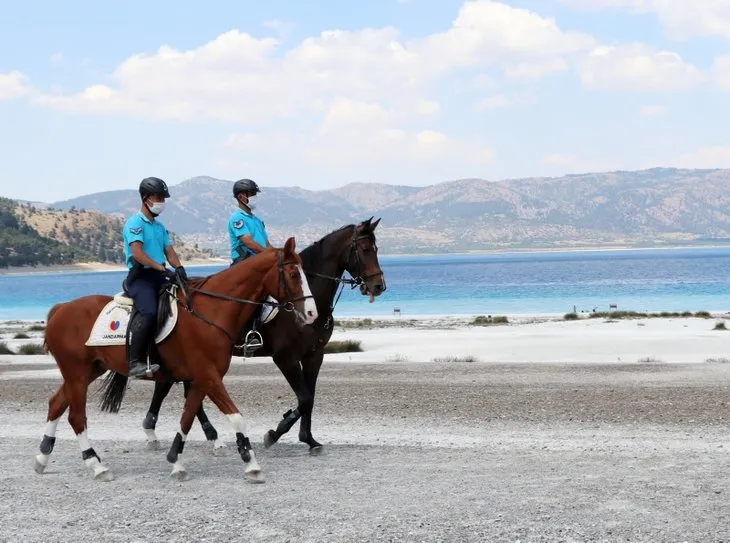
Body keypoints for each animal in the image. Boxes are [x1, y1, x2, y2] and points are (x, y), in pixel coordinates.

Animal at [34, 238, 316, 484]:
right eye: (293, 274)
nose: (312, 313)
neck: (211, 312)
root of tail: (61, 309)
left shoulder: (202, 379)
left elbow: (187, 418)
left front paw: (176, 462)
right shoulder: (209, 376)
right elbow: (236, 417)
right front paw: (252, 464)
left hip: (88, 371)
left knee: (56, 403)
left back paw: (42, 457)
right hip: (77, 373)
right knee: (76, 417)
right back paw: (96, 465)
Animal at [139, 218, 384, 454]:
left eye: (376, 248)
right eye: (365, 249)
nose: (379, 285)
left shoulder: (314, 355)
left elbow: (310, 398)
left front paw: (309, 439)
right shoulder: (285, 358)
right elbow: (304, 398)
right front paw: (274, 434)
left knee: (176, 386)